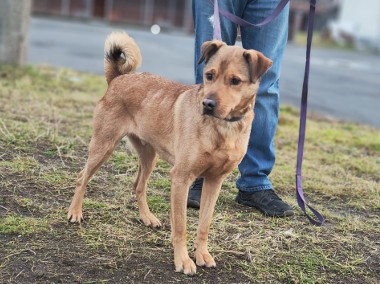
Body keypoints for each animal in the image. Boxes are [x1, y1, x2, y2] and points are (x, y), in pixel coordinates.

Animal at [67, 31, 270, 276]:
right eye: (209, 76)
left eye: (235, 81)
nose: (207, 104)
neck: (223, 127)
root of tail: (118, 78)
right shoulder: (181, 179)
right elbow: (181, 227)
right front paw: (183, 260)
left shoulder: (214, 181)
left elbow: (204, 224)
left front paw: (202, 254)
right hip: (103, 146)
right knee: (82, 177)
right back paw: (75, 212)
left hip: (149, 156)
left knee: (138, 185)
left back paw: (147, 217)